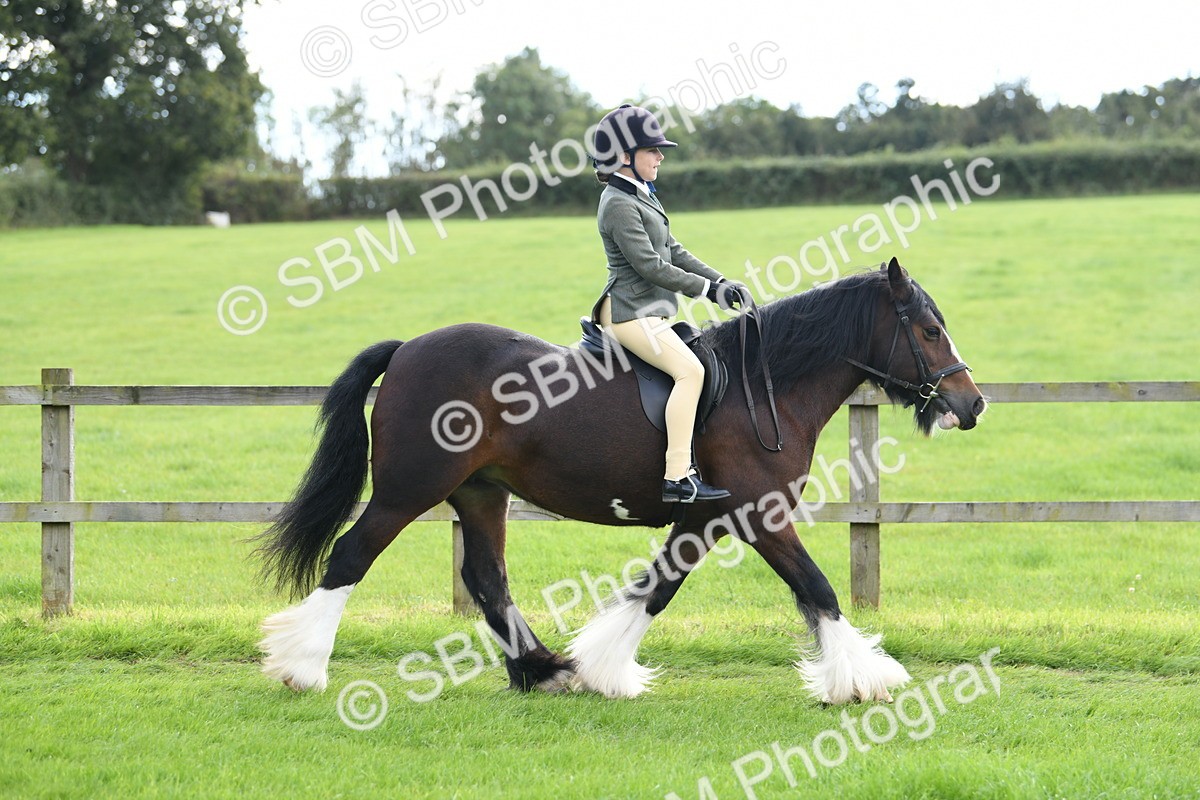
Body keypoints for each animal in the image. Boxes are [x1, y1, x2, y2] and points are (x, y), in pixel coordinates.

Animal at [256, 257, 986, 704]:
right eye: (929, 330)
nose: (972, 404)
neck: (768, 385)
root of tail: (407, 348)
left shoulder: (704, 518)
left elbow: (657, 590)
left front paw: (604, 668)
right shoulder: (758, 515)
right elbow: (819, 589)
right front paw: (861, 679)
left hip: (482, 492)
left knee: (487, 578)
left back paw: (544, 670)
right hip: (408, 490)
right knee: (350, 556)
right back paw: (302, 666)